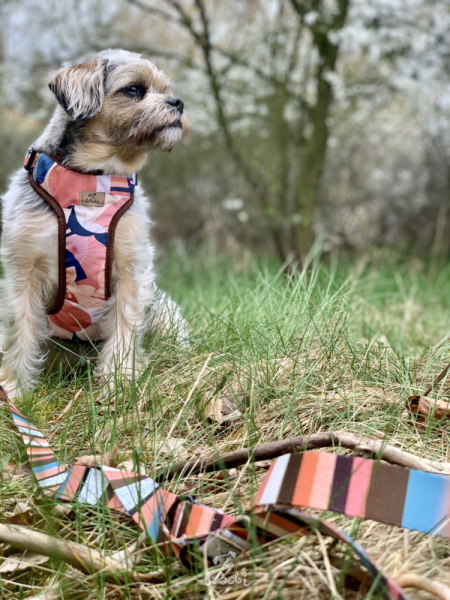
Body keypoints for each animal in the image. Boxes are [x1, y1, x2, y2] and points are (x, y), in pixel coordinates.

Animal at [0, 49, 188, 398]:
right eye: (134, 89)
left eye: (165, 89)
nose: (178, 102)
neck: (94, 177)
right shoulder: (24, 271)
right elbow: (20, 329)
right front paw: (14, 389)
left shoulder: (131, 271)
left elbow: (125, 328)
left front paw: (119, 382)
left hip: (163, 310)